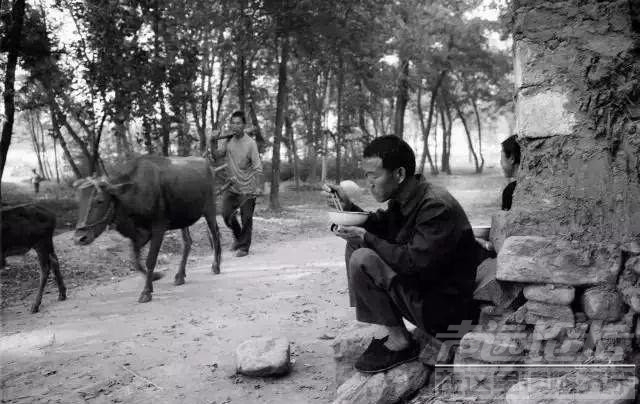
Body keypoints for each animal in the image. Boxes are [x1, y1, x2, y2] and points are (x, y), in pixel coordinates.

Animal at [73, 155, 220, 304]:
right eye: (79, 203)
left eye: (100, 200)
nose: (79, 238)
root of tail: (207, 163)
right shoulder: (138, 235)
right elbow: (135, 261)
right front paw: (156, 276)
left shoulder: (159, 228)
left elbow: (150, 260)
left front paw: (146, 292)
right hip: (183, 219)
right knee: (187, 242)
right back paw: (180, 275)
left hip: (210, 209)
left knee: (215, 234)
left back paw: (216, 266)